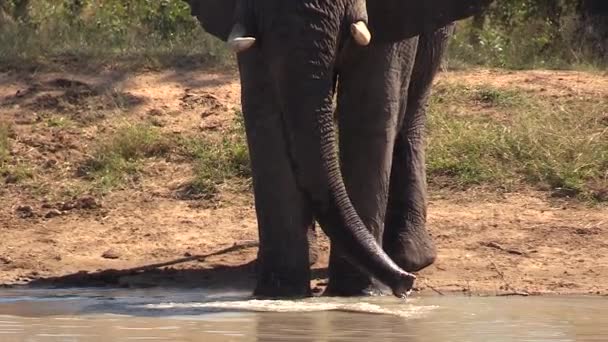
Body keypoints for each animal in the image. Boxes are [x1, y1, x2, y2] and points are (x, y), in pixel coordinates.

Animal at [186, 0, 494, 296]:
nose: (405, 285)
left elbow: (369, 106)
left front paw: (357, 292)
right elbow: (265, 112)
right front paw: (279, 294)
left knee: (413, 105)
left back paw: (408, 259)